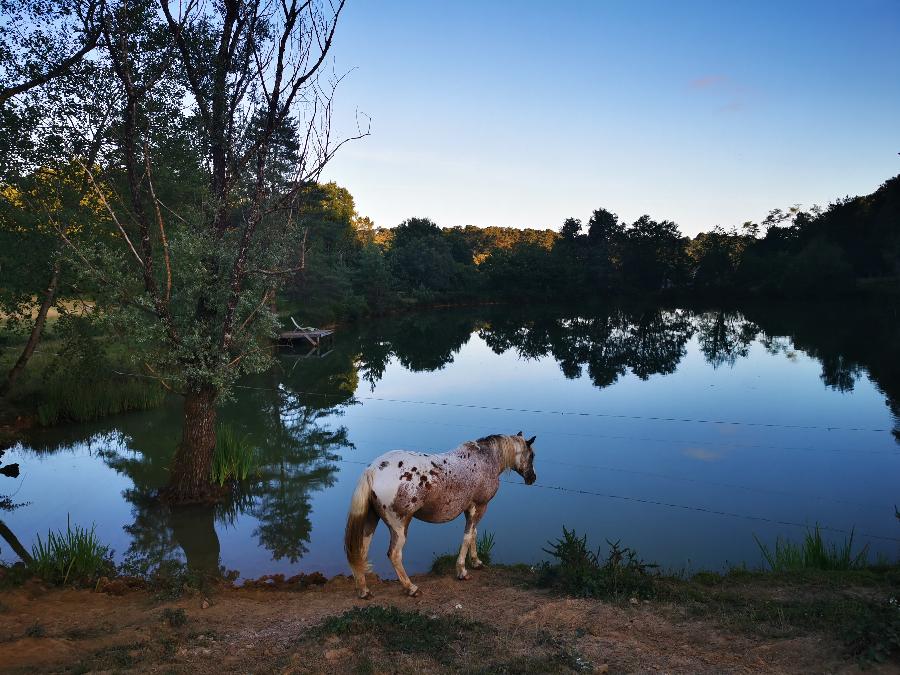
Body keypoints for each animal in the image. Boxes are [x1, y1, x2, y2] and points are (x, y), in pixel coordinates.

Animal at [342, 434, 532, 596]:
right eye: (532, 456)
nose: (532, 477)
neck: (485, 459)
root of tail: (373, 470)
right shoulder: (480, 506)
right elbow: (467, 536)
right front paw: (462, 571)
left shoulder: (470, 509)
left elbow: (473, 534)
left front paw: (476, 562)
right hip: (399, 526)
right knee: (394, 555)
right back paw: (411, 588)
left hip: (371, 521)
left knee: (361, 551)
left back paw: (364, 590)